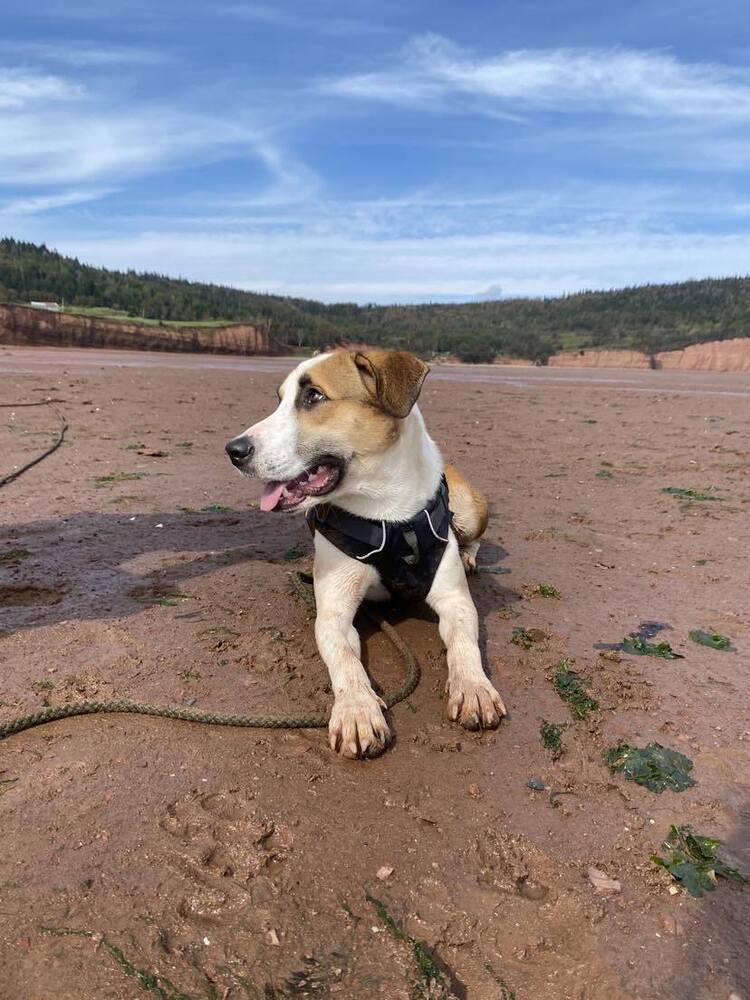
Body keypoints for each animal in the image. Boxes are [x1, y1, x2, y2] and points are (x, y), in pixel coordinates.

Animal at [223, 350, 506, 756]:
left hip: (469, 507)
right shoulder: (332, 615)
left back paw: (469, 554)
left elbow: (464, 644)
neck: (387, 511)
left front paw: (473, 686)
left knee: (473, 534)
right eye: (279, 399)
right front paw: (356, 709)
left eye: (313, 396)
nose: (233, 450)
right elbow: (345, 660)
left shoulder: (456, 600)